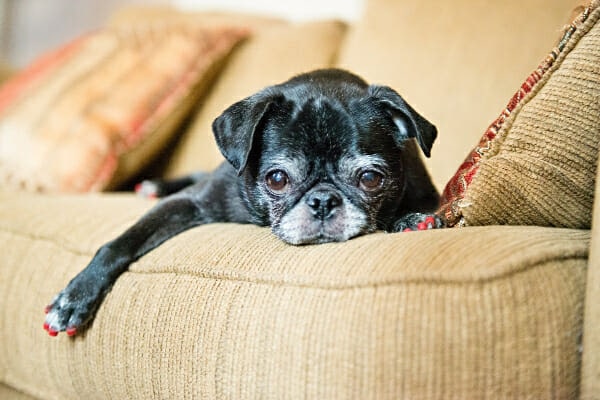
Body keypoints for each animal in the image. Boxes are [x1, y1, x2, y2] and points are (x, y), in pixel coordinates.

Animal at [44, 69, 442, 338]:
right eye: (277, 179)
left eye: (370, 179)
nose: (323, 200)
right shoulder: (188, 203)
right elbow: (119, 244)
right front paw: (74, 297)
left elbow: (420, 209)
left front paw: (412, 219)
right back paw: (155, 185)